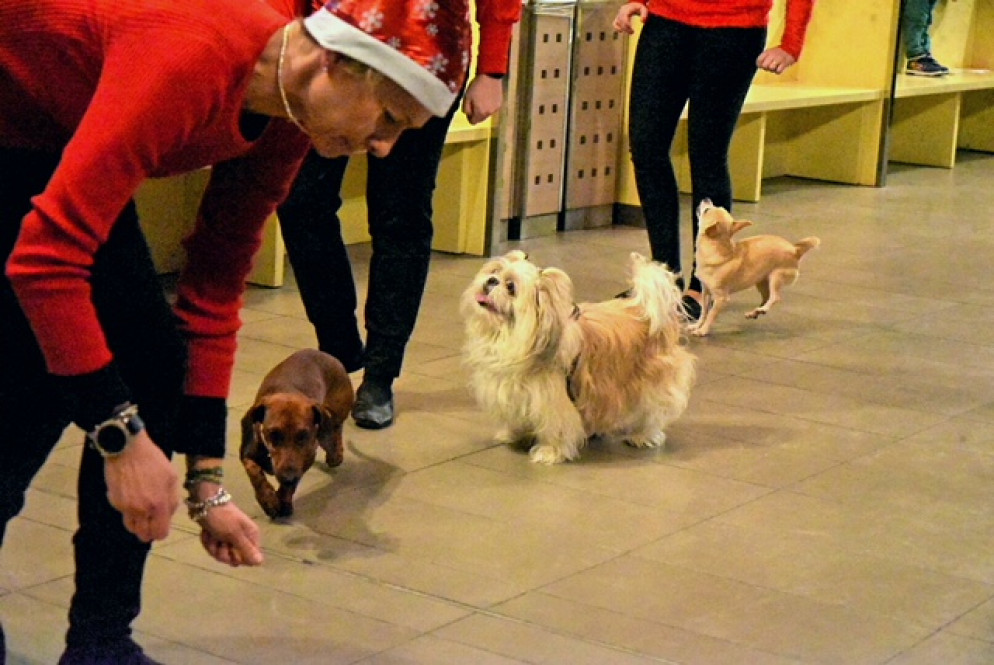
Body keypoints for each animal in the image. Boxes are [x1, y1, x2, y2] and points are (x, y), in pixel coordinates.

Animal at [240, 349, 354, 518]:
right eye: (273, 434)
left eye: (303, 436)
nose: (288, 477)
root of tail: (326, 355)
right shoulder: (248, 455)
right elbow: (255, 472)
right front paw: (268, 499)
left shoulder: (305, 459)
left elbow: (289, 486)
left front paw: (283, 499)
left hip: (335, 415)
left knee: (335, 431)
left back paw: (335, 454)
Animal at [461, 250, 696, 465]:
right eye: (495, 272)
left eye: (511, 287)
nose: (491, 281)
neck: (507, 335)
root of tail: (648, 313)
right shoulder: (514, 391)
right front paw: (514, 434)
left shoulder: (553, 399)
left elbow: (556, 427)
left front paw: (550, 452)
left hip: (651, 383)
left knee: (652, 411)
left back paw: (643, 435)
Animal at [689, 199, 820, 337]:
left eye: (706, 210)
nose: (706, 199)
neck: (716, 249)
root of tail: (795, 250)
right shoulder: (706, 292)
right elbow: (704, 312)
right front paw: (696, 325)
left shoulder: (721, 298)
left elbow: (711, 315)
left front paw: (703, 330)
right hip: (761, 282)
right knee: (766, 297)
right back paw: (756, 312)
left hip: (776, 277)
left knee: (775, 297)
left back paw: (763, 309)